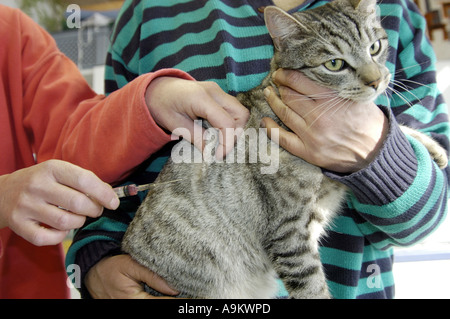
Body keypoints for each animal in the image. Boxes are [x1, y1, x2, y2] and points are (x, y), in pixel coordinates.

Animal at [121, 0, 448, 300]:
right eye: (334, 64)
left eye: (376, 46)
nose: (377, 80)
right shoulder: (288, 232)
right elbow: (312, 288)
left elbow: (389, 125)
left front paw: (429, 148)